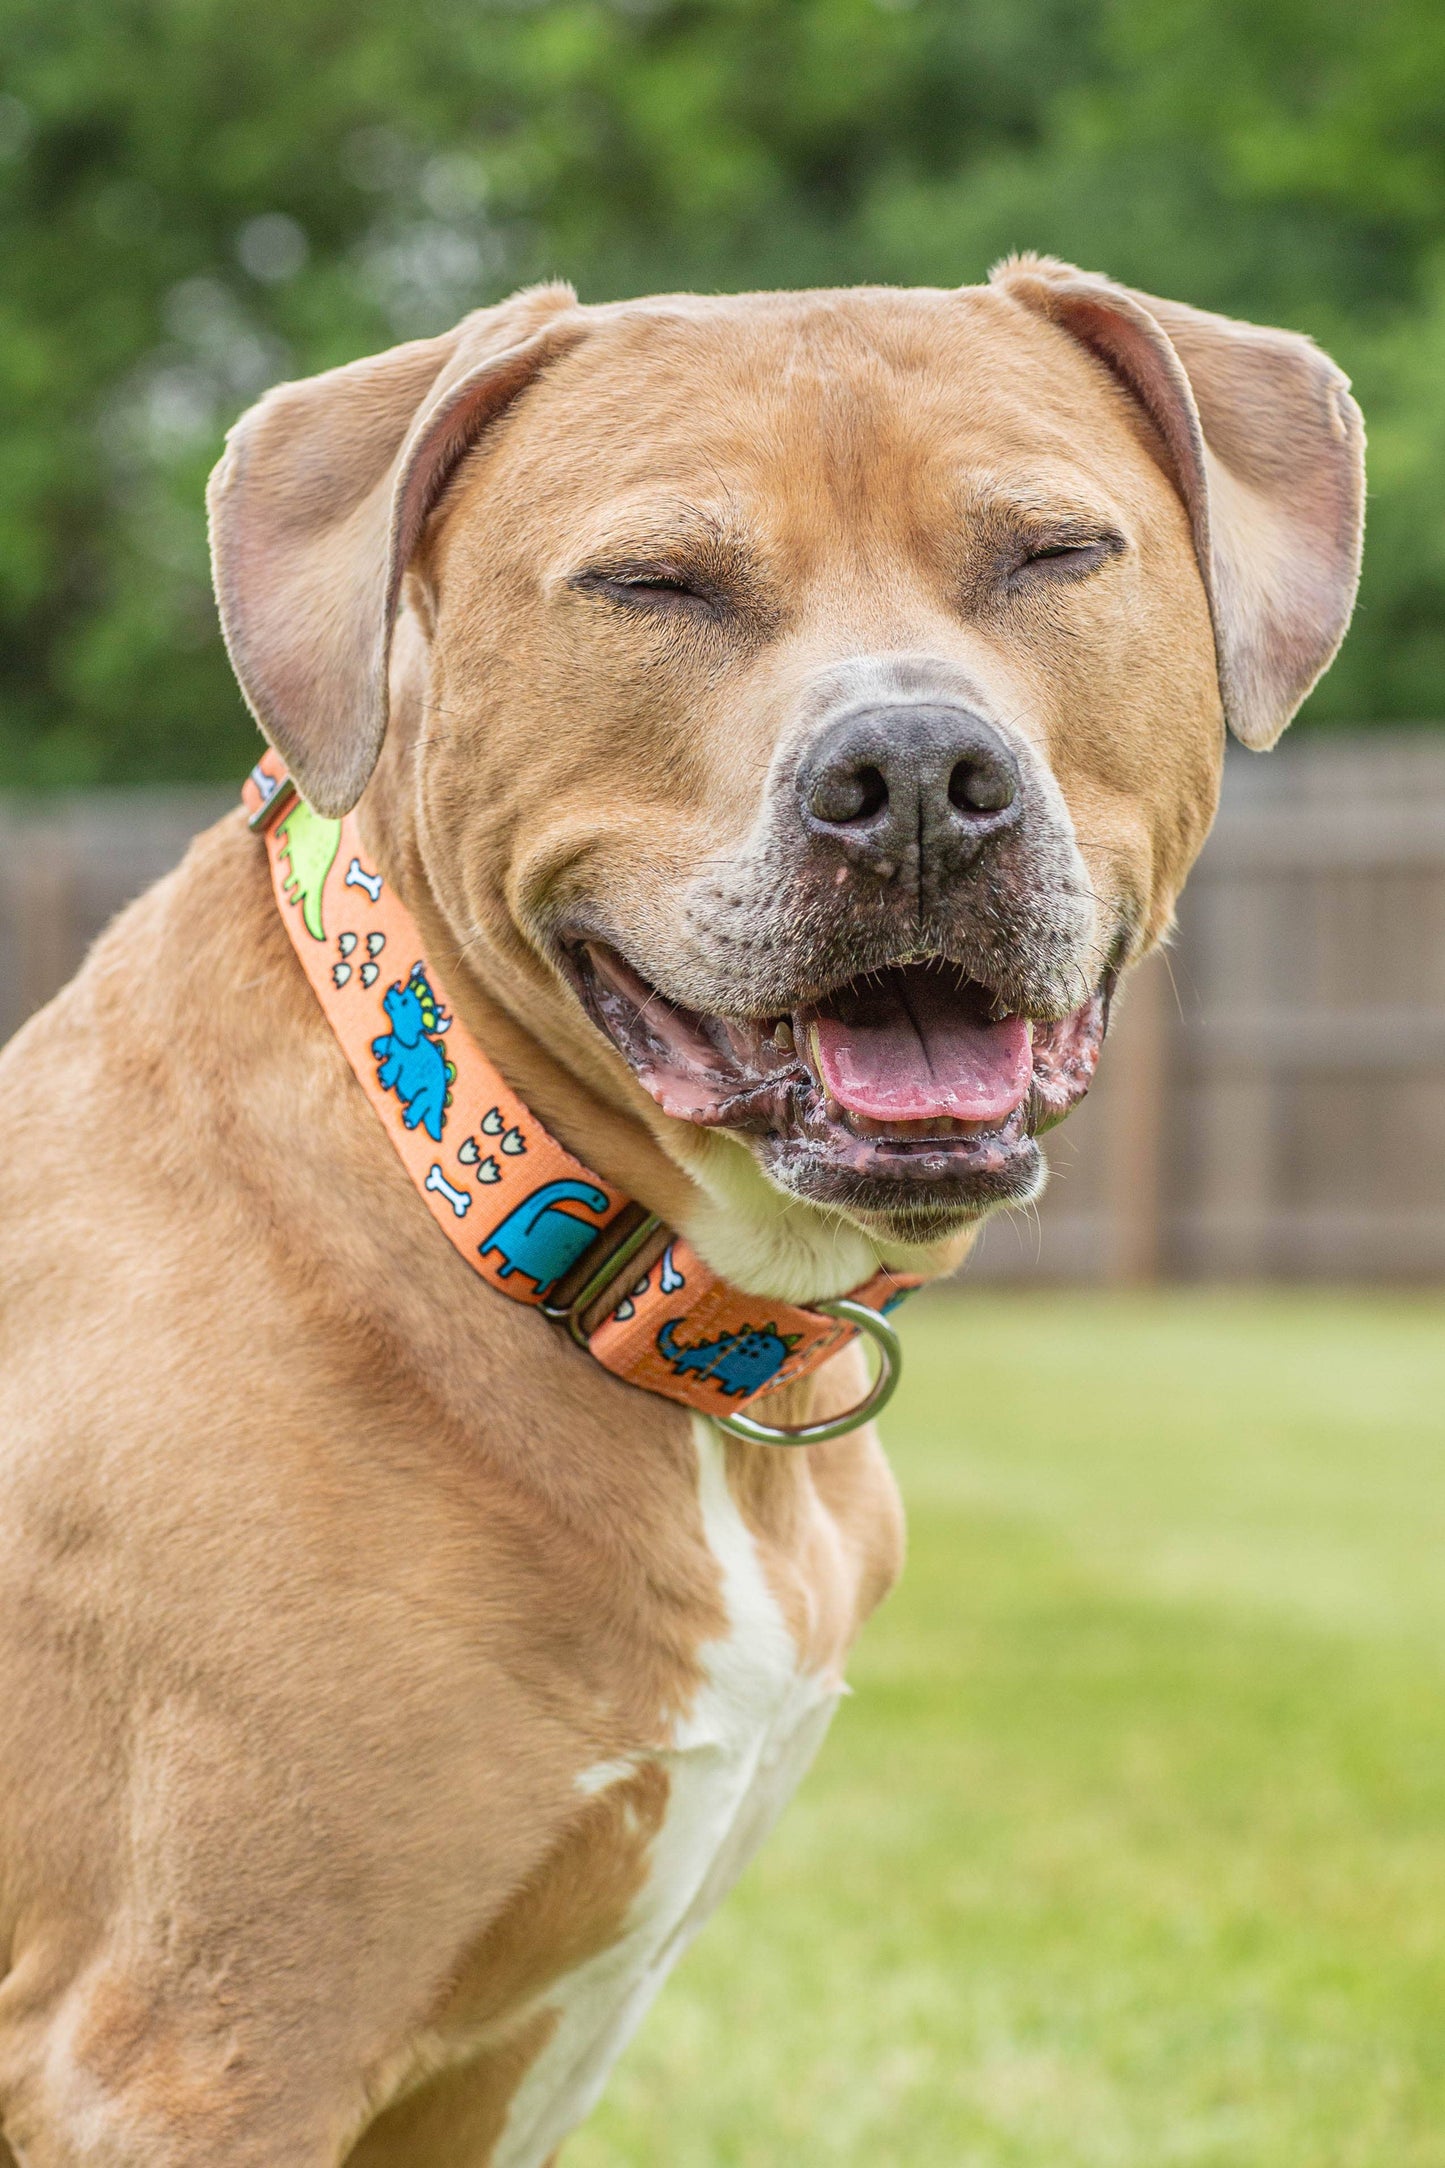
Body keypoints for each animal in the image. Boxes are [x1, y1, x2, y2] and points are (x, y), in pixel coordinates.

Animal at [0, 262, 1360, 2159]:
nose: (917, 773)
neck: (504, 1213)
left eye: (1054, 553)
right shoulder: (190, 2057)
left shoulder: (498, 2069)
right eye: (653, 584)